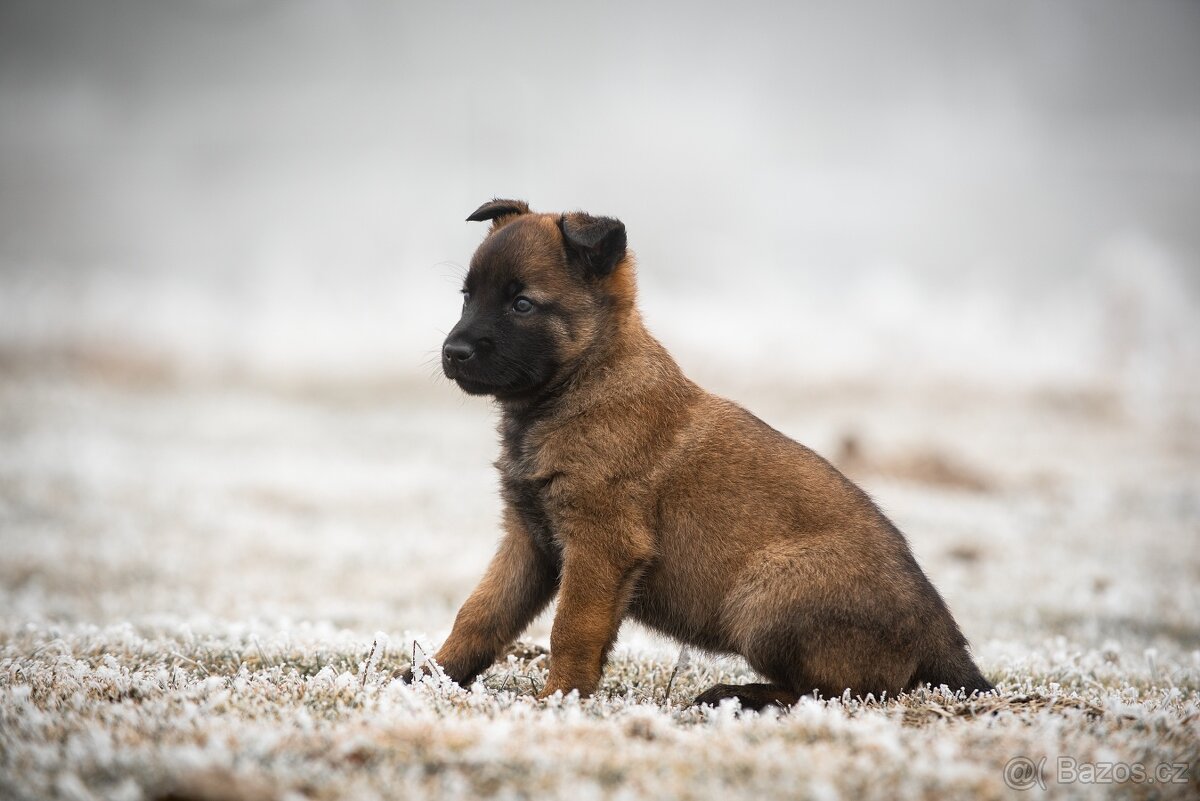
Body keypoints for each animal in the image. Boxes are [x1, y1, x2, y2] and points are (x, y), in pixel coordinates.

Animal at [417, 199, 988, 705]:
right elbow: (480, 615)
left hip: (764, 595)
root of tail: (941, 635)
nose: (453, 352)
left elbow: (572, 629)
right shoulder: (529, 541)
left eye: (522, 304)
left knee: (840, 690)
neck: (585, 381)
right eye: (467, 298)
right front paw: (430, 678)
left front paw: (559, 699)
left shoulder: (601, 544)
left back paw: (739, 694)